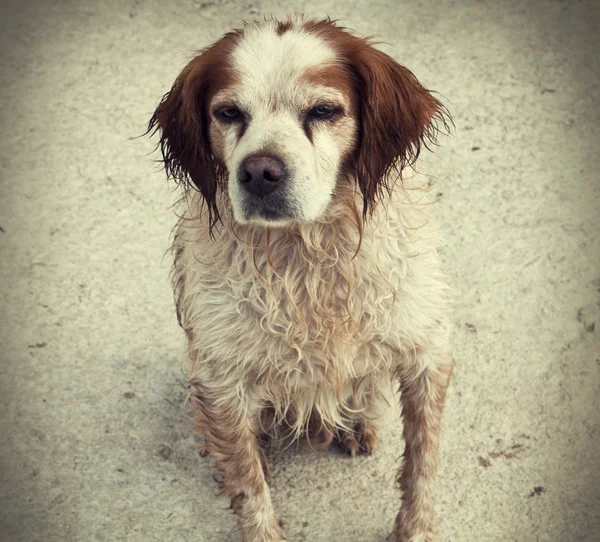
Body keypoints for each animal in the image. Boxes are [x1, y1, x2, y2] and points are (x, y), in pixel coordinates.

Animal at [149, 14, 454, 540]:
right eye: (228, 113)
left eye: (324, 110)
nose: (259, 172)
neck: (306, 255)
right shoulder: (220, 379)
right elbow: (249, 488)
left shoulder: (426, 352)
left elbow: (422, 463)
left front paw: (414, 530)